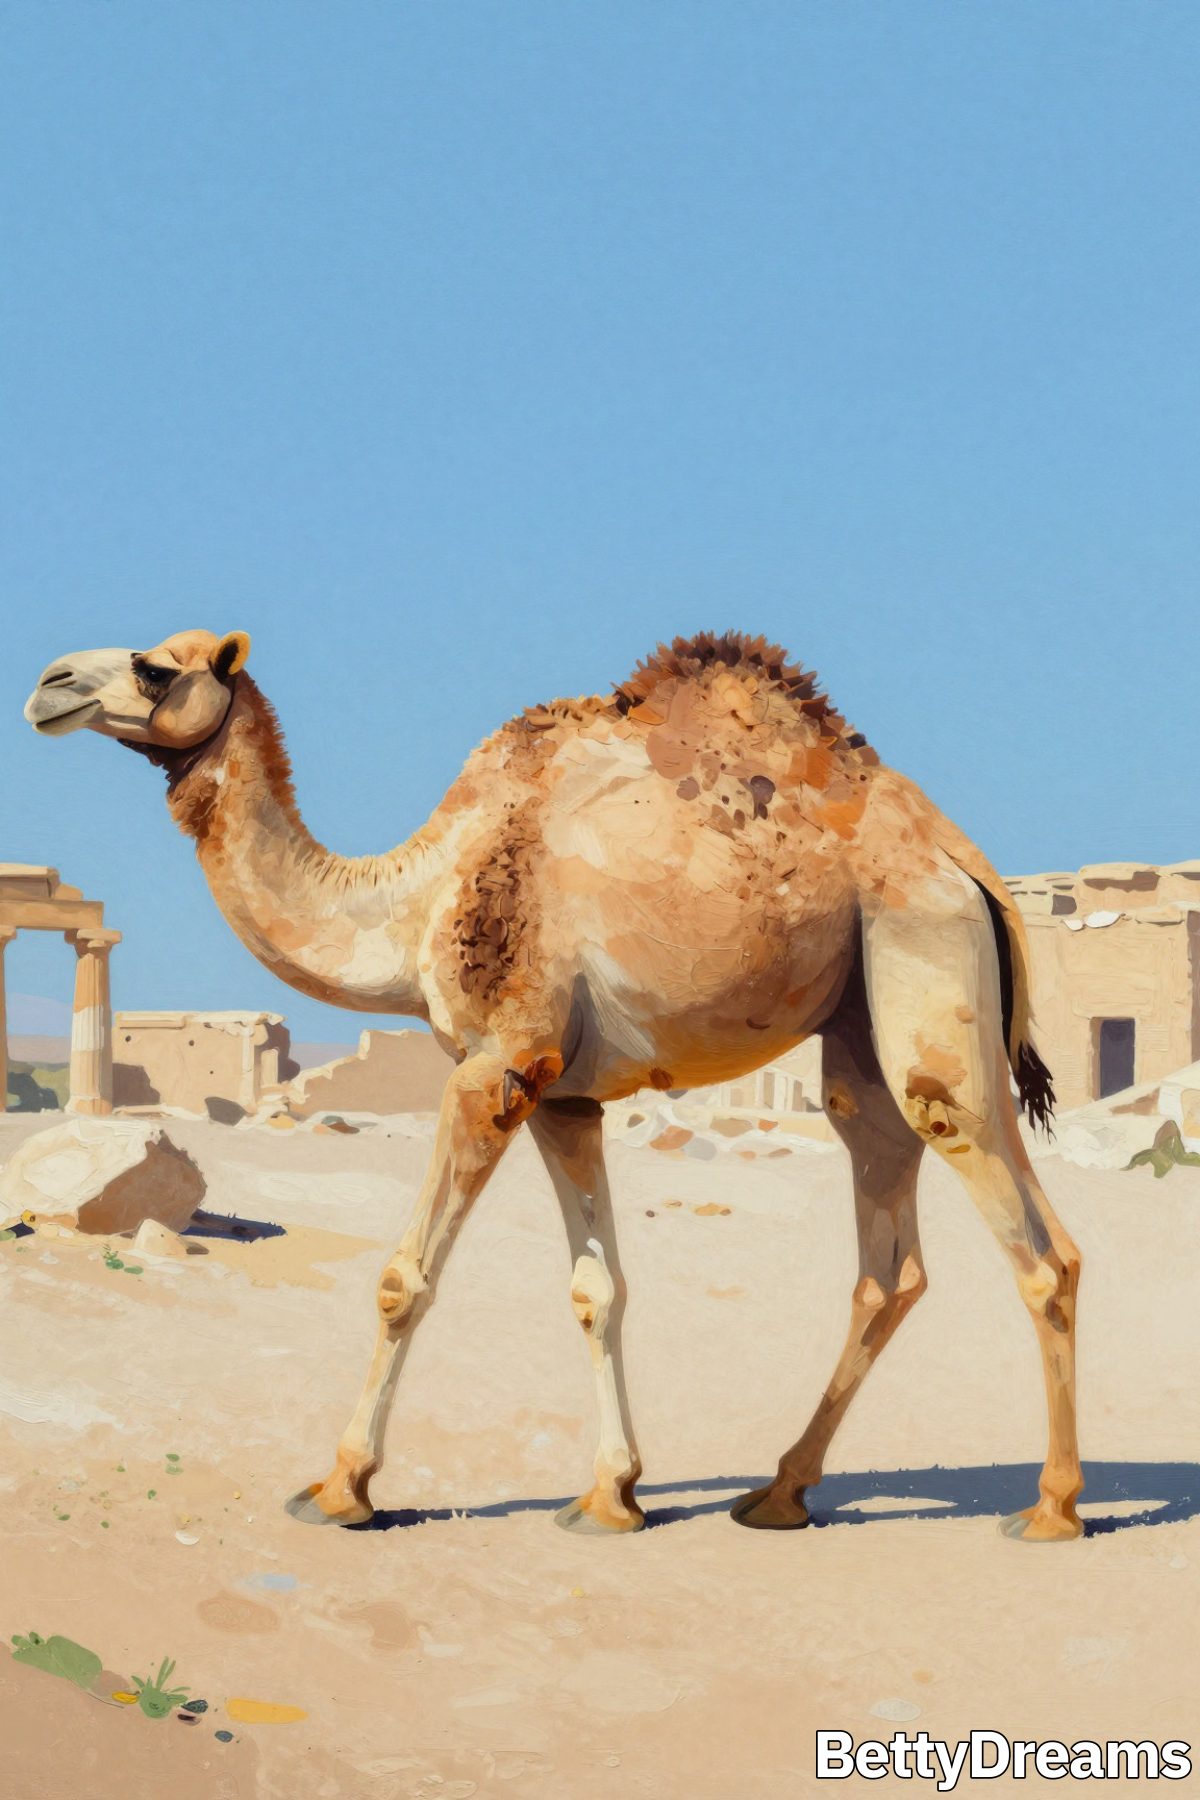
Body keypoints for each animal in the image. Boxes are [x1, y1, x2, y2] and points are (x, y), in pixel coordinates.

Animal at [24, 628, 1082, 1543]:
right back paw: (778, 1493)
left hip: (925, 955)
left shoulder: (497, 1067)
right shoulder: (564, 1095)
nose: (46, 685)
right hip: (861, 1022)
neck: (411, 902)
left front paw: (339, 1488)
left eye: (155, 667)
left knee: (1035, 1243)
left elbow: (405, 1279)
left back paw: (1052, 1509)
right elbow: (597, 1288)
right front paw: (613, 1495)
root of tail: (970, 866)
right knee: (889, 1244)